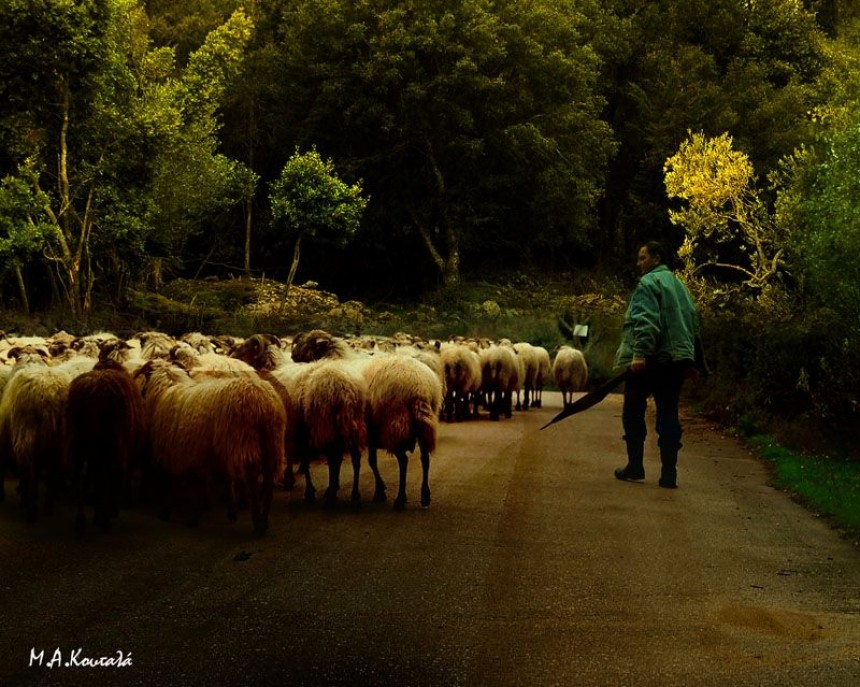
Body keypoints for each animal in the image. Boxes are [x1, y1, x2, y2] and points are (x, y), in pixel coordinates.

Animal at [67, 354, 146, 532]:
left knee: (79, 475)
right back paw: (103, 519)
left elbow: (93, 476)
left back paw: (81, 520)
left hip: (78, 441)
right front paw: (110, 510)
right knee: (107, 475)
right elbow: (114, 477)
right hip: (112, 443)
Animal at [134, 360, 288, 536]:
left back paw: (258, 523)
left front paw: (171, 512)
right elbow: (214, 481)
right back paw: (264, 519)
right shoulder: (201, 453)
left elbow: (176, 482)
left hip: (243, 441)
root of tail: (262, 399)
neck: (164, 391)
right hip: (272, 441)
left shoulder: (177, 451)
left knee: (252, 476)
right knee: (268, 475)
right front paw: (225, 511)